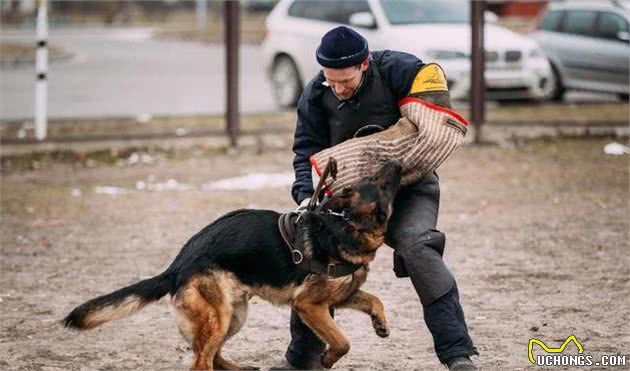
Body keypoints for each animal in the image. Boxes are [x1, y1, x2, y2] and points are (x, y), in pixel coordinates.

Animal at [64, 161, 404, 370]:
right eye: (377, 182)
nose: (397, 164)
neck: (346, 225)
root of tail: (178, 263)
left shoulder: (339, 296)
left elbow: (374, 299)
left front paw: (381, 324)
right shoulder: (309, 305)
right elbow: (342, 341)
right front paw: (329, 359)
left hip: (234, 316)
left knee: (212, 355)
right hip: (220, 317)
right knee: (201, 361)